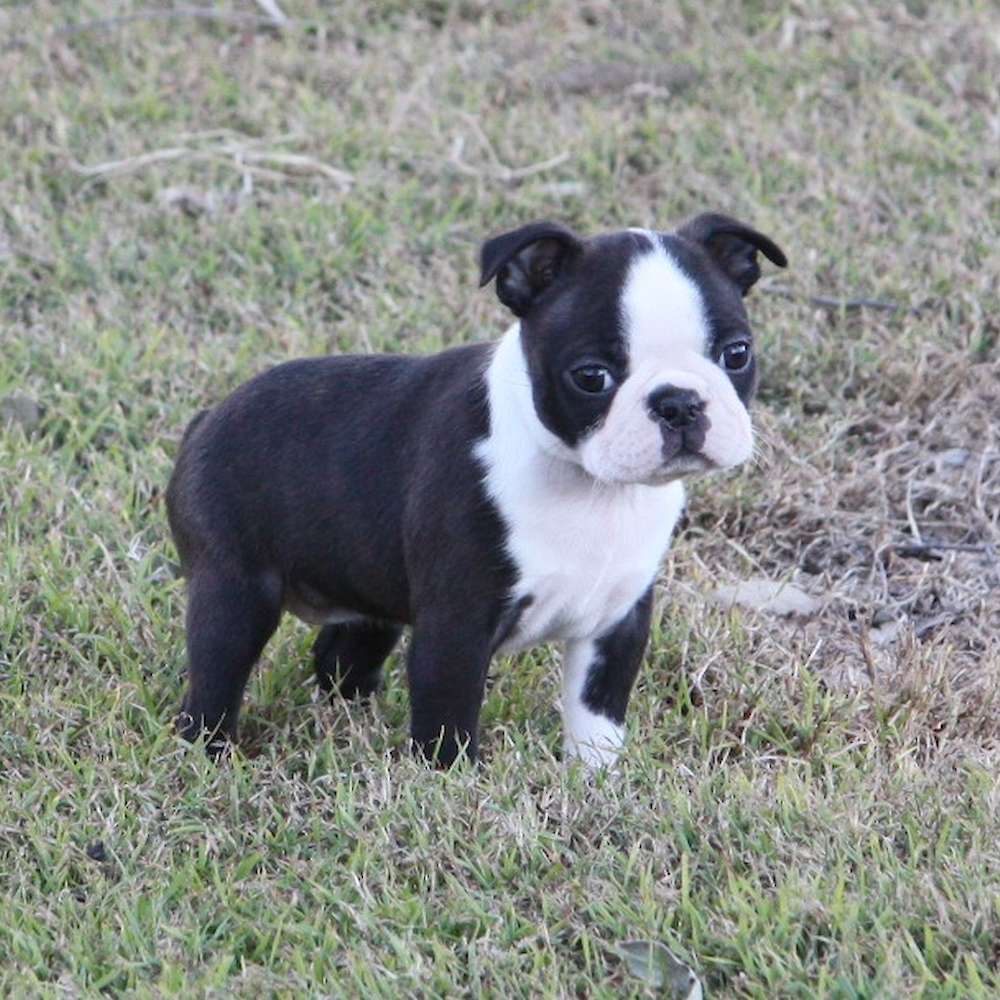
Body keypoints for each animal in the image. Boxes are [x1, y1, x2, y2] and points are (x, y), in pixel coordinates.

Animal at [166, 212, 786, 767]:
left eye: (737, 353)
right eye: (591, 377)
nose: (678, 402)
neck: (592, 488)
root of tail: (206, 419)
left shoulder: (617, 619)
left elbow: (597, 714)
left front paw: (597, 777)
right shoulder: (457, 623)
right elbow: (449, 714)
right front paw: (450, 783)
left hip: (363, 591)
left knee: (344, 653)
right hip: (234, 588)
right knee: (215, 677)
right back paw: (212, 752)